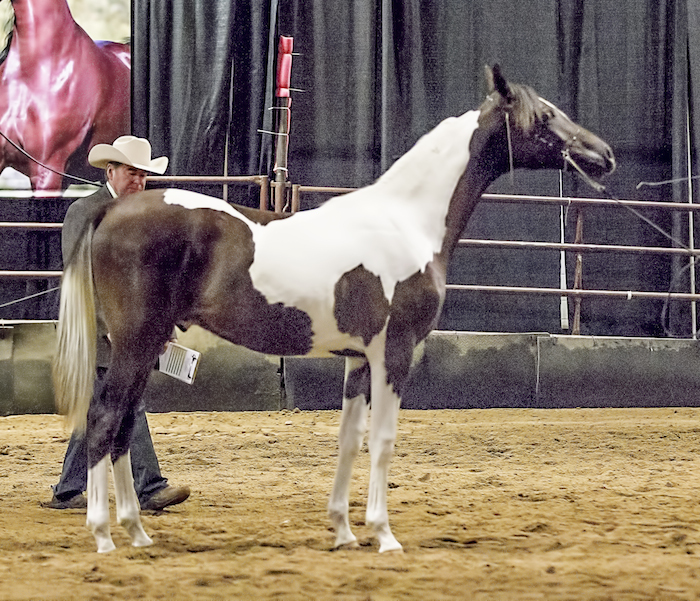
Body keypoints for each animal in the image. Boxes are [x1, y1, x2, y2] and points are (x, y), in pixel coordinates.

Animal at [53, 65, 615, 553]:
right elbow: (383, 441)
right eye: (545, 115)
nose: (603, 154)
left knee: (124, 427)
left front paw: (344, 531)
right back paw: (104, 535)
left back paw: (137, 531)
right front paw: (384, 535)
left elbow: (349, 439)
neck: (406, 220)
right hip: (136, 344)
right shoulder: (394, 354)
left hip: (145, 349)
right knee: (103, 419)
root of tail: (113, 208)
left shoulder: (359, 360)